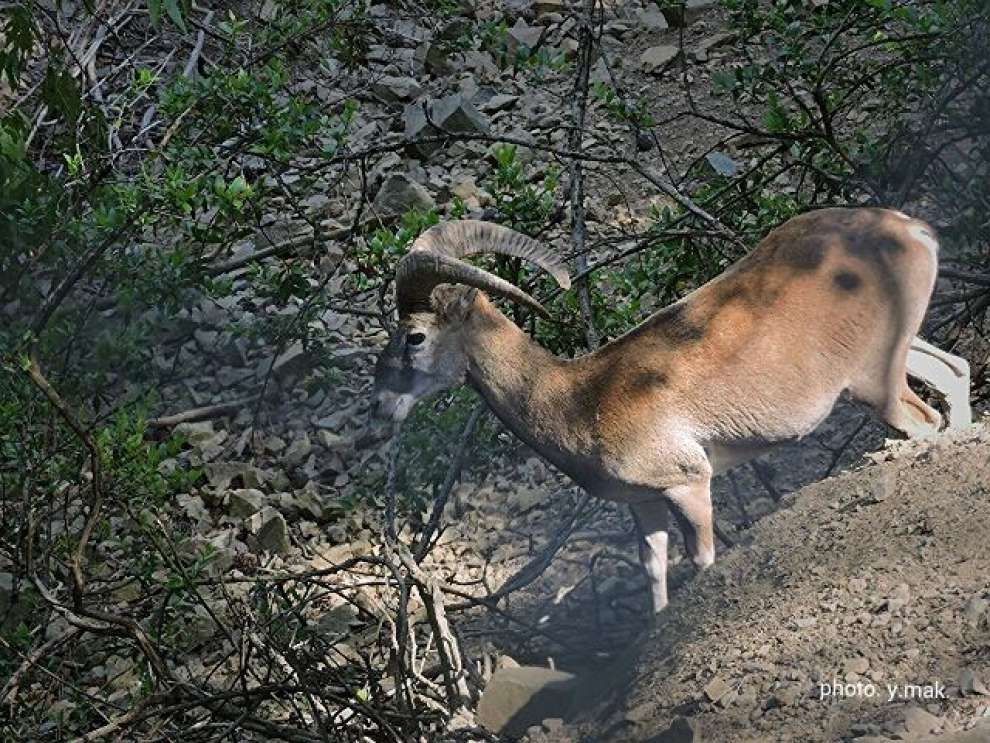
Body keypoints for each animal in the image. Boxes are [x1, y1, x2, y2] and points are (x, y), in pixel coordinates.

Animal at [368, 208, 972, 612]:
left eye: (414, 337)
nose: (380, 408)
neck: (580, 394)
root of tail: (908, 229)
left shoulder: (689, 482)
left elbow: (701, 560)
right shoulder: (644, 503)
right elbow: (653, 570)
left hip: (876, 384)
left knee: (925, 421)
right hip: (902, 352)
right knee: (957, 372)